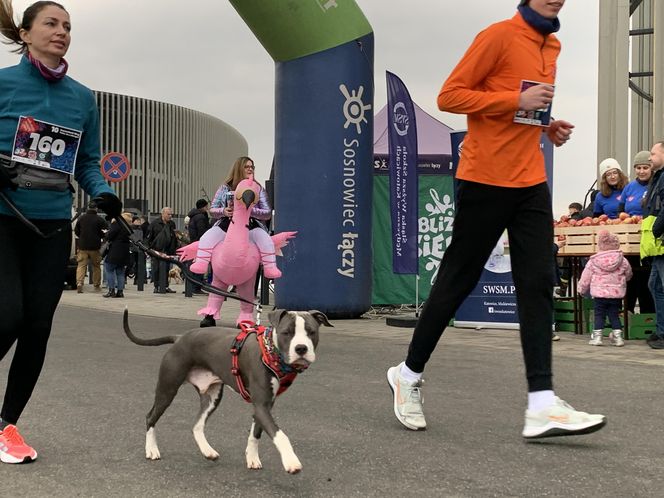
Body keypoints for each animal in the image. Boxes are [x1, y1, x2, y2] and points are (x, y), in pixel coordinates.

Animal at [120, 308, 330, 474]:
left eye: (311, 332)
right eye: (287, 332)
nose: (301, 348)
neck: (271, 352)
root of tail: (179, 338)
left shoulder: (264, 406)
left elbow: (256, 433)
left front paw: (252, 457)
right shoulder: (261, 405)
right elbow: (280, 435)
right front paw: (291, 461)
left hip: (212, 396)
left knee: (197, 425)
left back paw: (208, 451)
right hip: (167, 388)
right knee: (151, 416)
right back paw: (151, 450)